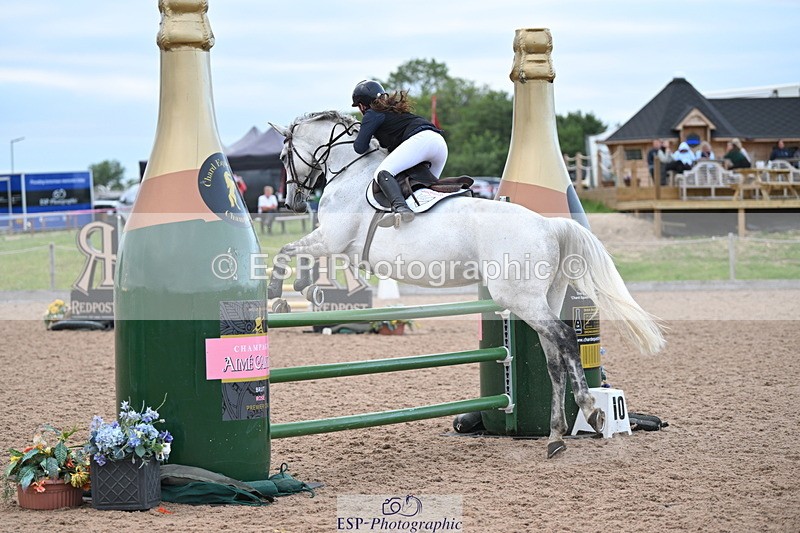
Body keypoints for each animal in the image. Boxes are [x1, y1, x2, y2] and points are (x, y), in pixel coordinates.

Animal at [267, 110, 665, 458]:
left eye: (284, 156)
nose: (292, 203)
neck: (350, 170)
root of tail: (549, 226)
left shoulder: (332, 239)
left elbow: (288, 251)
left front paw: (281, 295)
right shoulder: (336, 245)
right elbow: (301, 255)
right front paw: (305, 288)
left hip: (520, 299)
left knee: (566, 339)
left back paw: (591, 411)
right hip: (543, 299)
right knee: (554, 359)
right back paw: (554, 436)